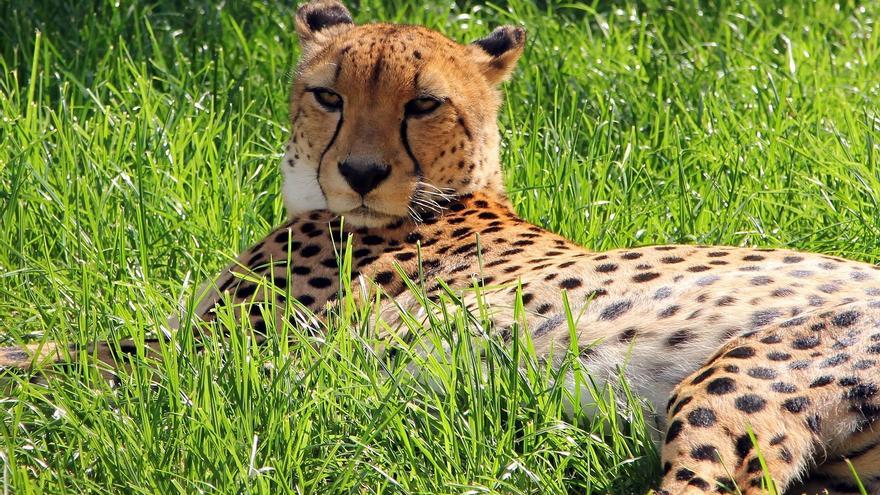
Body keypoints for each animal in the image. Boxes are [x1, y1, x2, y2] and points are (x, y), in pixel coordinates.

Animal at [2, 1, 880, 493]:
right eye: (329, 95)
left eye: (423, 104)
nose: (361, 172)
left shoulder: (227, 353)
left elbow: (59, 354)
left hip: (728, 384)